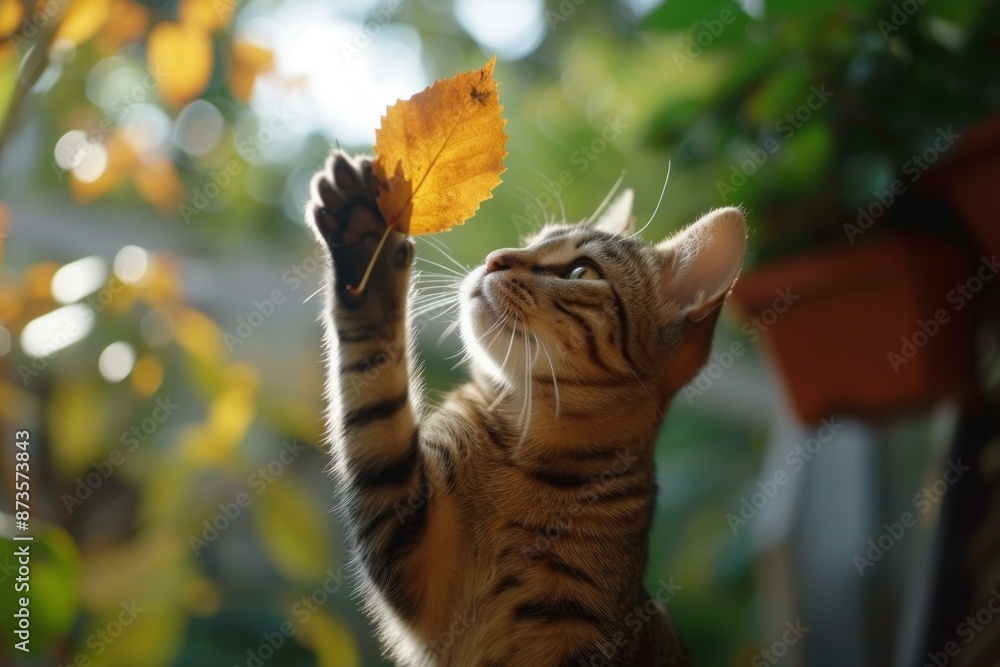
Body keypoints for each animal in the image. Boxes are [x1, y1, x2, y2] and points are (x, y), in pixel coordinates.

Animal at [308, 151, 748, 667]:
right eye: (531, 242)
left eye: (580, 272)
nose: (495, 258)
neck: (524, 444)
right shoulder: (413, 547)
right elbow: (374, 395)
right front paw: (363, 243)